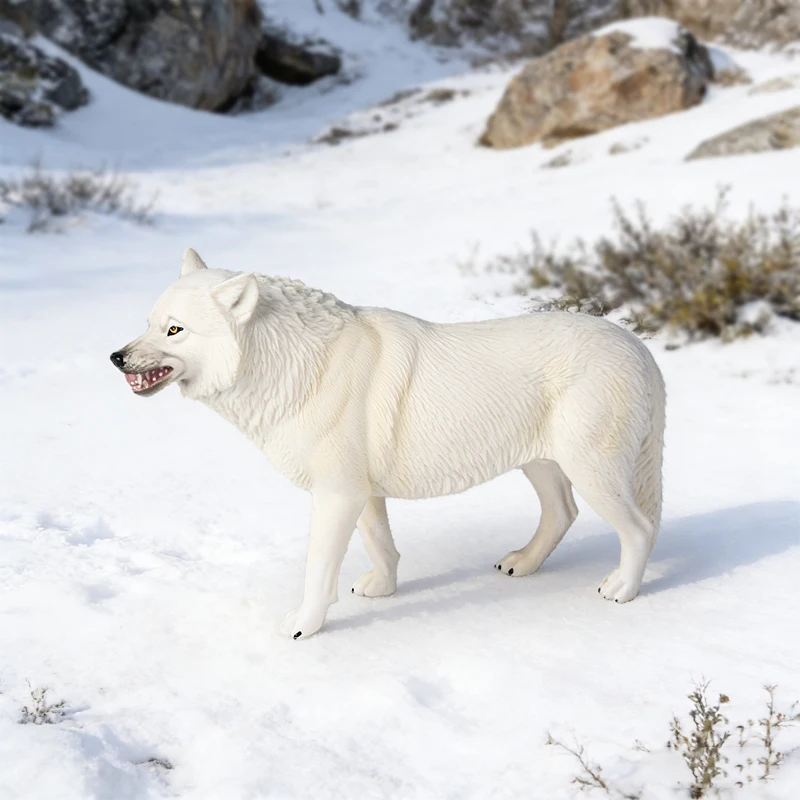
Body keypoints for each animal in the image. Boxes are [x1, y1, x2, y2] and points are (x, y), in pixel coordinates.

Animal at [111, 249, 666, 639]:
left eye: (175, 330)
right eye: (149, 323)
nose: (117, 358)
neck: (298, 367)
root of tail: (641, 349)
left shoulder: (337, 494)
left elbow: (318, 571)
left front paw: (304, 626)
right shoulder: (361, 492)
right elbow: (382, 546)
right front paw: (382, 591)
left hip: (590, 471)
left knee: (639, 529)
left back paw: (623, 589)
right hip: (543, 465)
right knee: (562, 514)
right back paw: (523, 563)